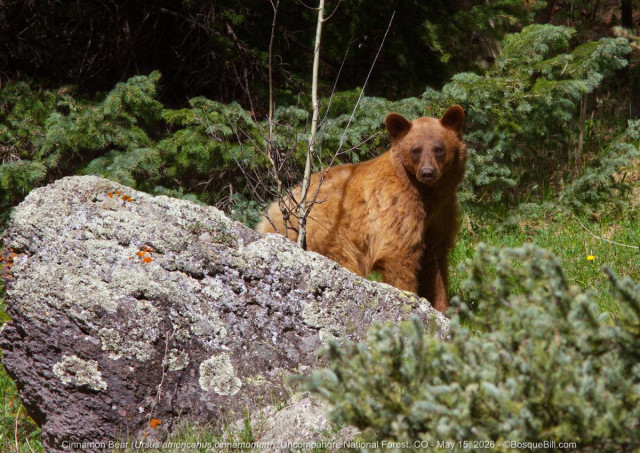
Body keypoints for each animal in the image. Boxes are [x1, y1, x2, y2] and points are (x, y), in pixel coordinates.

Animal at [256, 105, 466, 313]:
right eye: (416, 149)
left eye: (439, 148)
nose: (427, 172)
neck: (425, 193)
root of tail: (270, 214)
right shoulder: (396, 207)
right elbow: (399, 256)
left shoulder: (441, 215)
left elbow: (435, 266)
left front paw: (442, 309)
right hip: (328, 234)